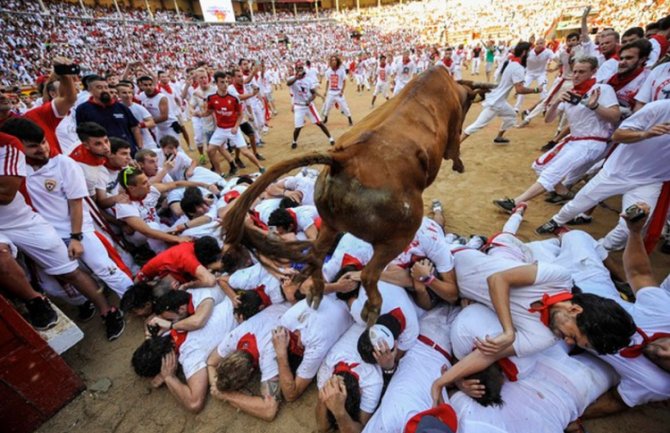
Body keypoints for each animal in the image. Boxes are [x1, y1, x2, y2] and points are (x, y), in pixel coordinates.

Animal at [224, 66, 488, 324]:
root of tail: (342, 159)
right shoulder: (453, 133)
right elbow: (454, 148)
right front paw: (459, 165)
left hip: (329, 223)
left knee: (317, 256)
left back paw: (315, 291)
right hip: (399, 235)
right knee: (370, 274)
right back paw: (371, 309)